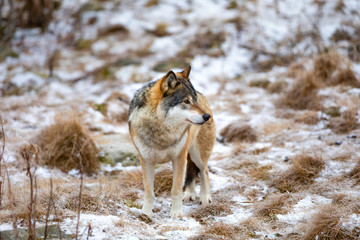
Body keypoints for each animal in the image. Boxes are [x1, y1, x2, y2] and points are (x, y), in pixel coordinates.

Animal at [128, 66, 215, 218]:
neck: (162, 132)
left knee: (204, 171)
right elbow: (149, 191)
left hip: (197, 155)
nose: (206, 116)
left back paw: (205, 198)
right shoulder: (146, 160)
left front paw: (176, 213)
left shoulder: (179, 157)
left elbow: (176, 189)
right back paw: (189, 194)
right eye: (186, 101)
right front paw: (146, 213)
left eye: (195, 100)